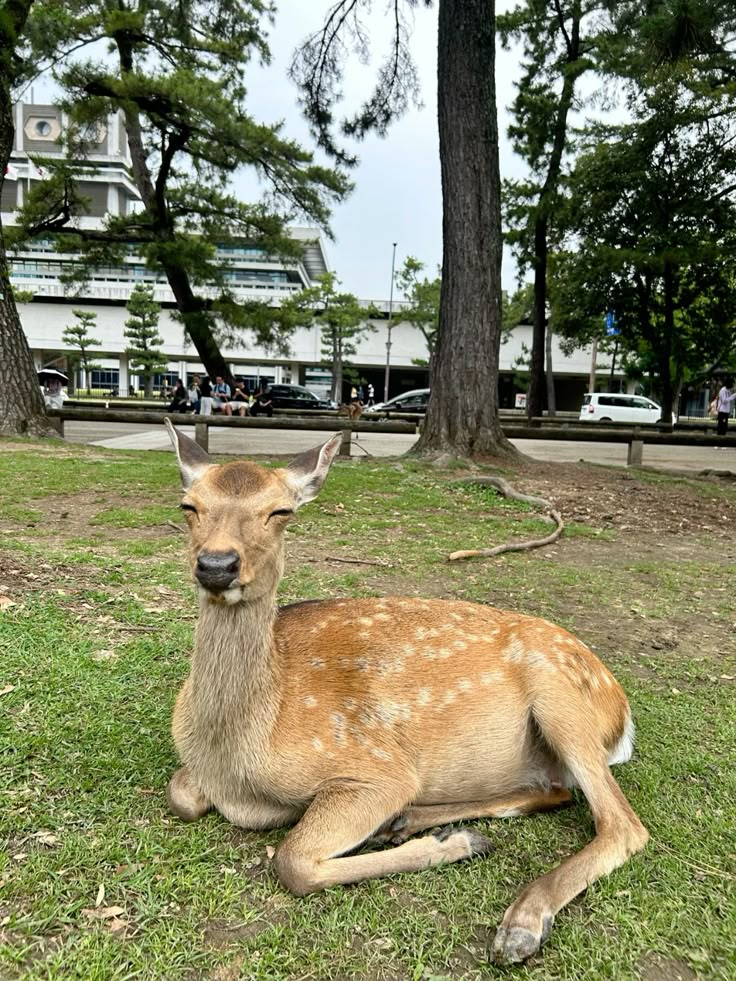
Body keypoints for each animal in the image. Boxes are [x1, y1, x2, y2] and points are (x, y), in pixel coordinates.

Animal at [163, 420, 649, 965]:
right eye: (188, 505)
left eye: (280, 512)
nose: (216, 565)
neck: (235, 758)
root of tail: (622, 715)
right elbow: (180, 794)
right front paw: (450, 839)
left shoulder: (376, 769)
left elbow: (292, 861)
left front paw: (455, 847)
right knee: (556, 790)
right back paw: (412, 822)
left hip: (562, 695)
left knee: (623, 824)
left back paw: (519, 922)